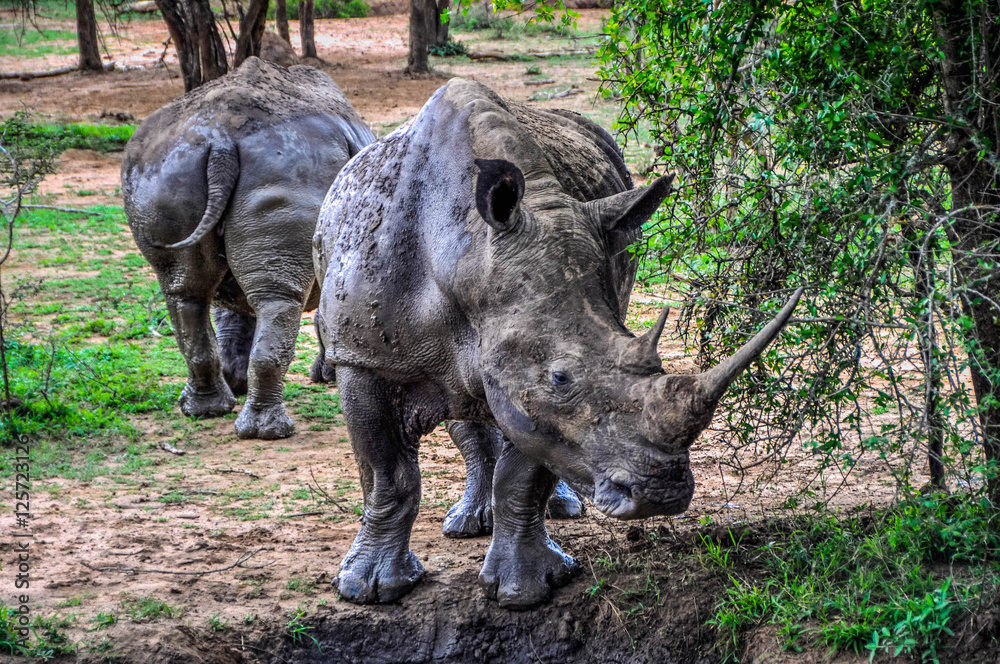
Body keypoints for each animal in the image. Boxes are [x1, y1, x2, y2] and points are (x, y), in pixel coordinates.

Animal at [122, 57, 374, 439]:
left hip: (163, 171)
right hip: (287, 166)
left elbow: (234, 311)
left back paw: (204, 410)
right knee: (276, 299)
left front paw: (237, 380)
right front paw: (328, 377)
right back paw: (268, 431)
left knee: (184, 291)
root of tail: (221, 141)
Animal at [313, 78, 802, 608]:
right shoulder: (362, 356)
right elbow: (388, 475)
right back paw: (467, 524)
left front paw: (528, 590)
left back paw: (553, 510)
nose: (662, 494)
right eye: (561, 377)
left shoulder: (528, 381)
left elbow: (524, 474)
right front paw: (368, 589)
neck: (467, 253)